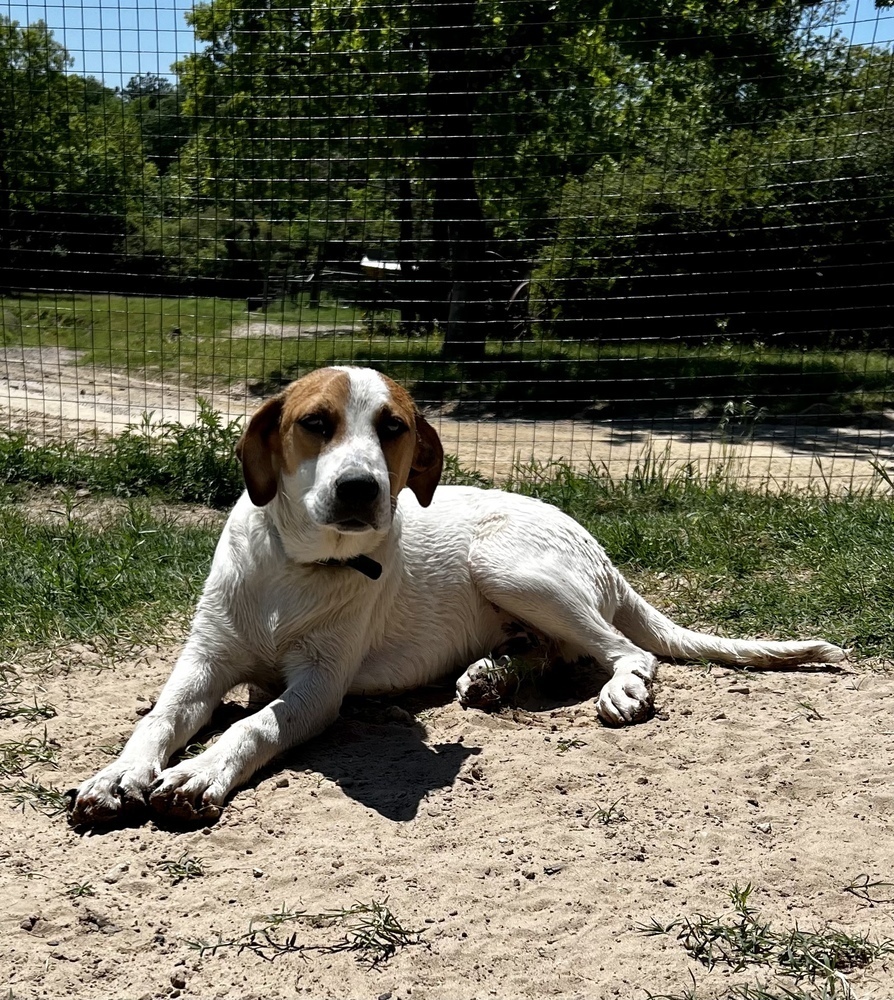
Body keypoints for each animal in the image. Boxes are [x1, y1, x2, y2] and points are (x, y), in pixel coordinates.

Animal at [68, 364, 848, 824]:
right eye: (315, 423)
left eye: (394, 428)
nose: (361, 489)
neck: (298, 570)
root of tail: (595, 543)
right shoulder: (204, 662)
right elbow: (157, 720)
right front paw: (119, 773)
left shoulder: (319, 687)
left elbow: (253, 724)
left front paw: (201, 771)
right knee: (558, 652)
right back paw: (491, 674)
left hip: (508, 565)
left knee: (622, 650)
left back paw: (612, 687)